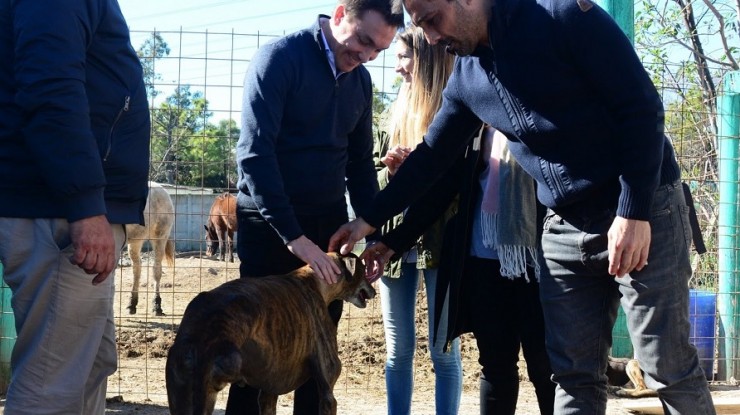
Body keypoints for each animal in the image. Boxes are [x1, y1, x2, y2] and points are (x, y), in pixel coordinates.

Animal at [125, 181, 176, 316]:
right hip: (135, 240)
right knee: (137, 268)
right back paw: (131, 304)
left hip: (160, 237)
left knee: (156, 270)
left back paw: (157, 306)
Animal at [167, 254, 376, 415]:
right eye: (364, 269)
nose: (373, 291)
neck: (314, 280)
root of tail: (201, 337)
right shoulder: (327, 392)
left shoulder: (269, 391)